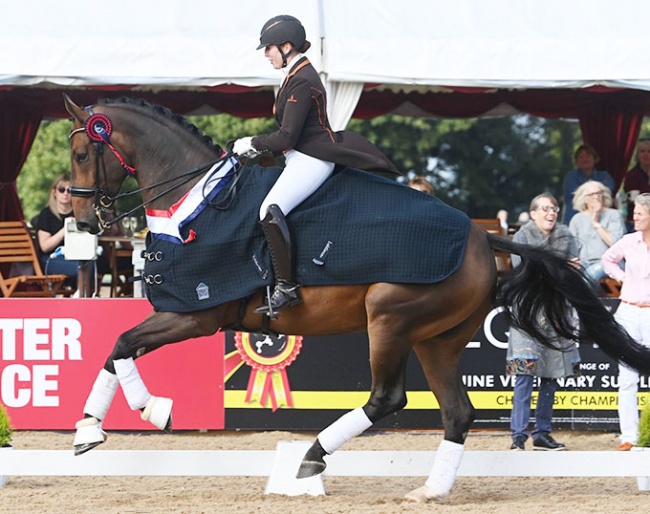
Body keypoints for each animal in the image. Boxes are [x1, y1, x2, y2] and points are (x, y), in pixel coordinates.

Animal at [64, 94, 648, 502]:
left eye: (81, 151)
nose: (84, 221)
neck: (197, 205)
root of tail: (484, 238)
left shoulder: (197, 314)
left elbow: (121, 344)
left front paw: (148, 411)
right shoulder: (183, 315)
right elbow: (117, 347)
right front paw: (91, 429)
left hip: (388, 318)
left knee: (388, 398)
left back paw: (309, 459)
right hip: (437, 339)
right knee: (457, 413)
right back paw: (429, 490)